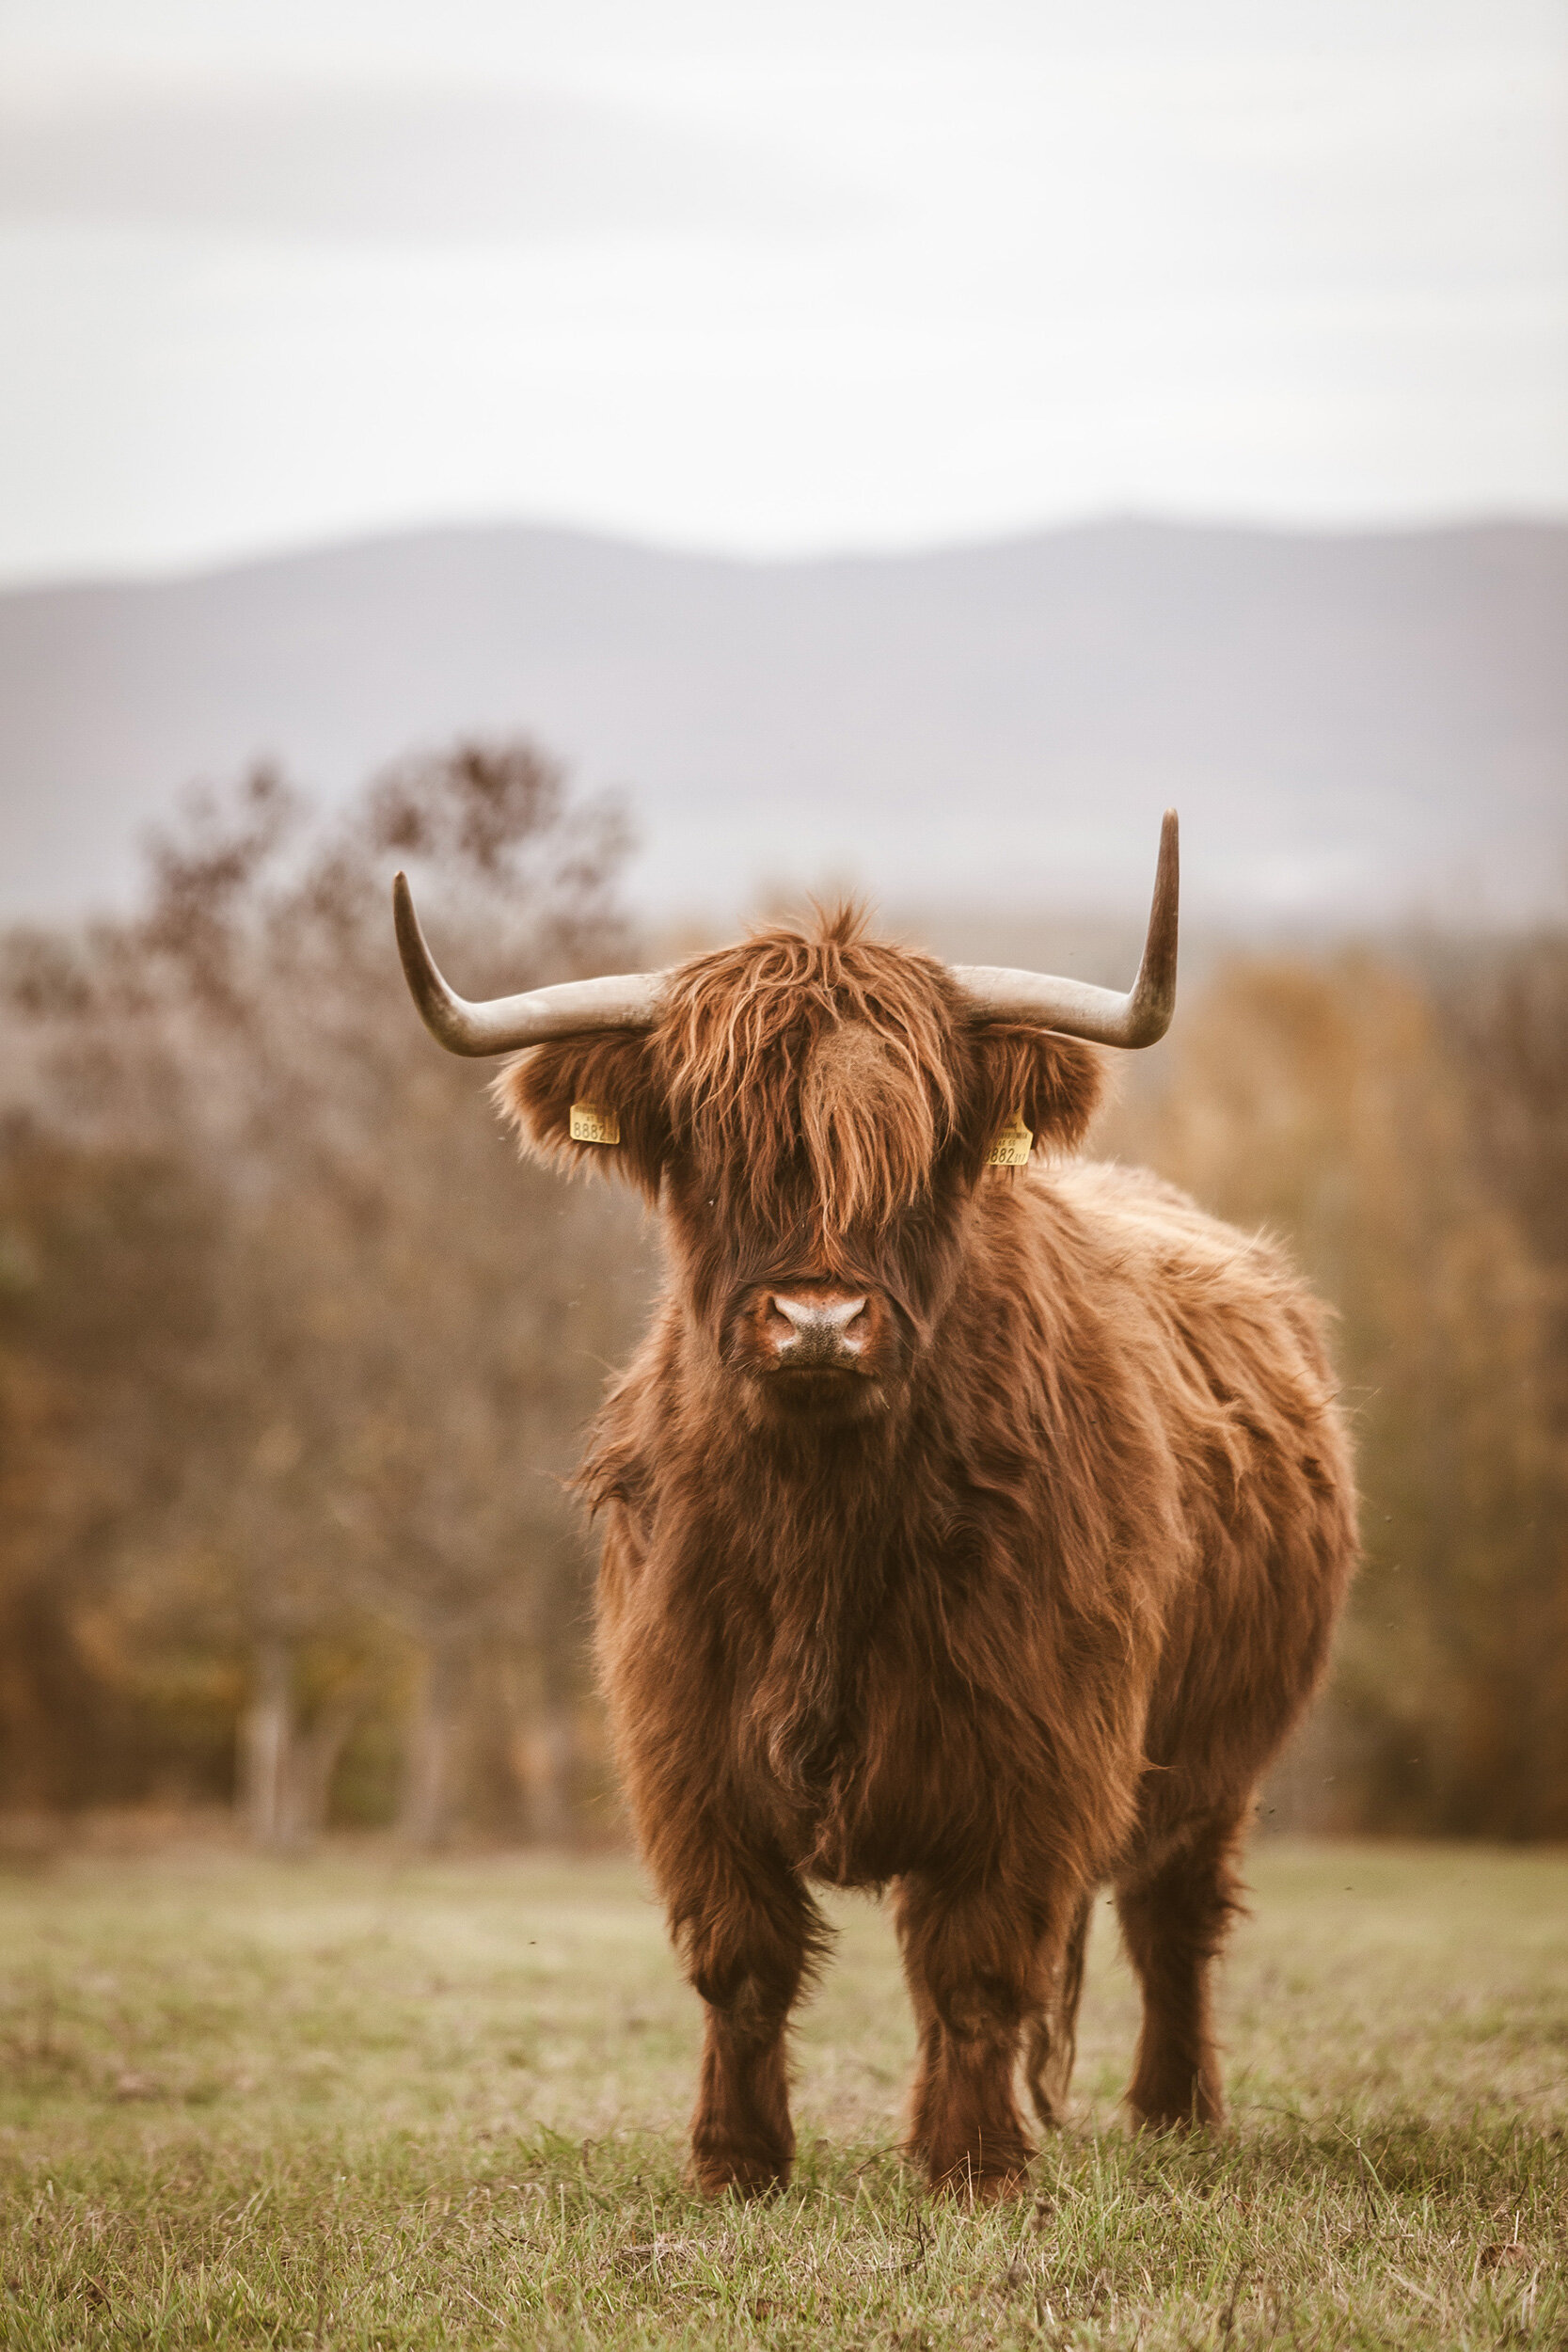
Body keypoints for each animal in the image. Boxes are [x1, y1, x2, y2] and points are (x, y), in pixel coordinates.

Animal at [394, 818, 1363, 2192]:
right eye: (712, 1146)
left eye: (920, 1150)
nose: (818, 1319)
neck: (822, 1521)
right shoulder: (683, 1740)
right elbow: (740, 1960)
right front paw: (735, 2162)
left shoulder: (1033, 1745)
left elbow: (977, 1961)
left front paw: (974, 2166)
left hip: (1213, 1756)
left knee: (1168, 1918)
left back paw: (1173, 2112)